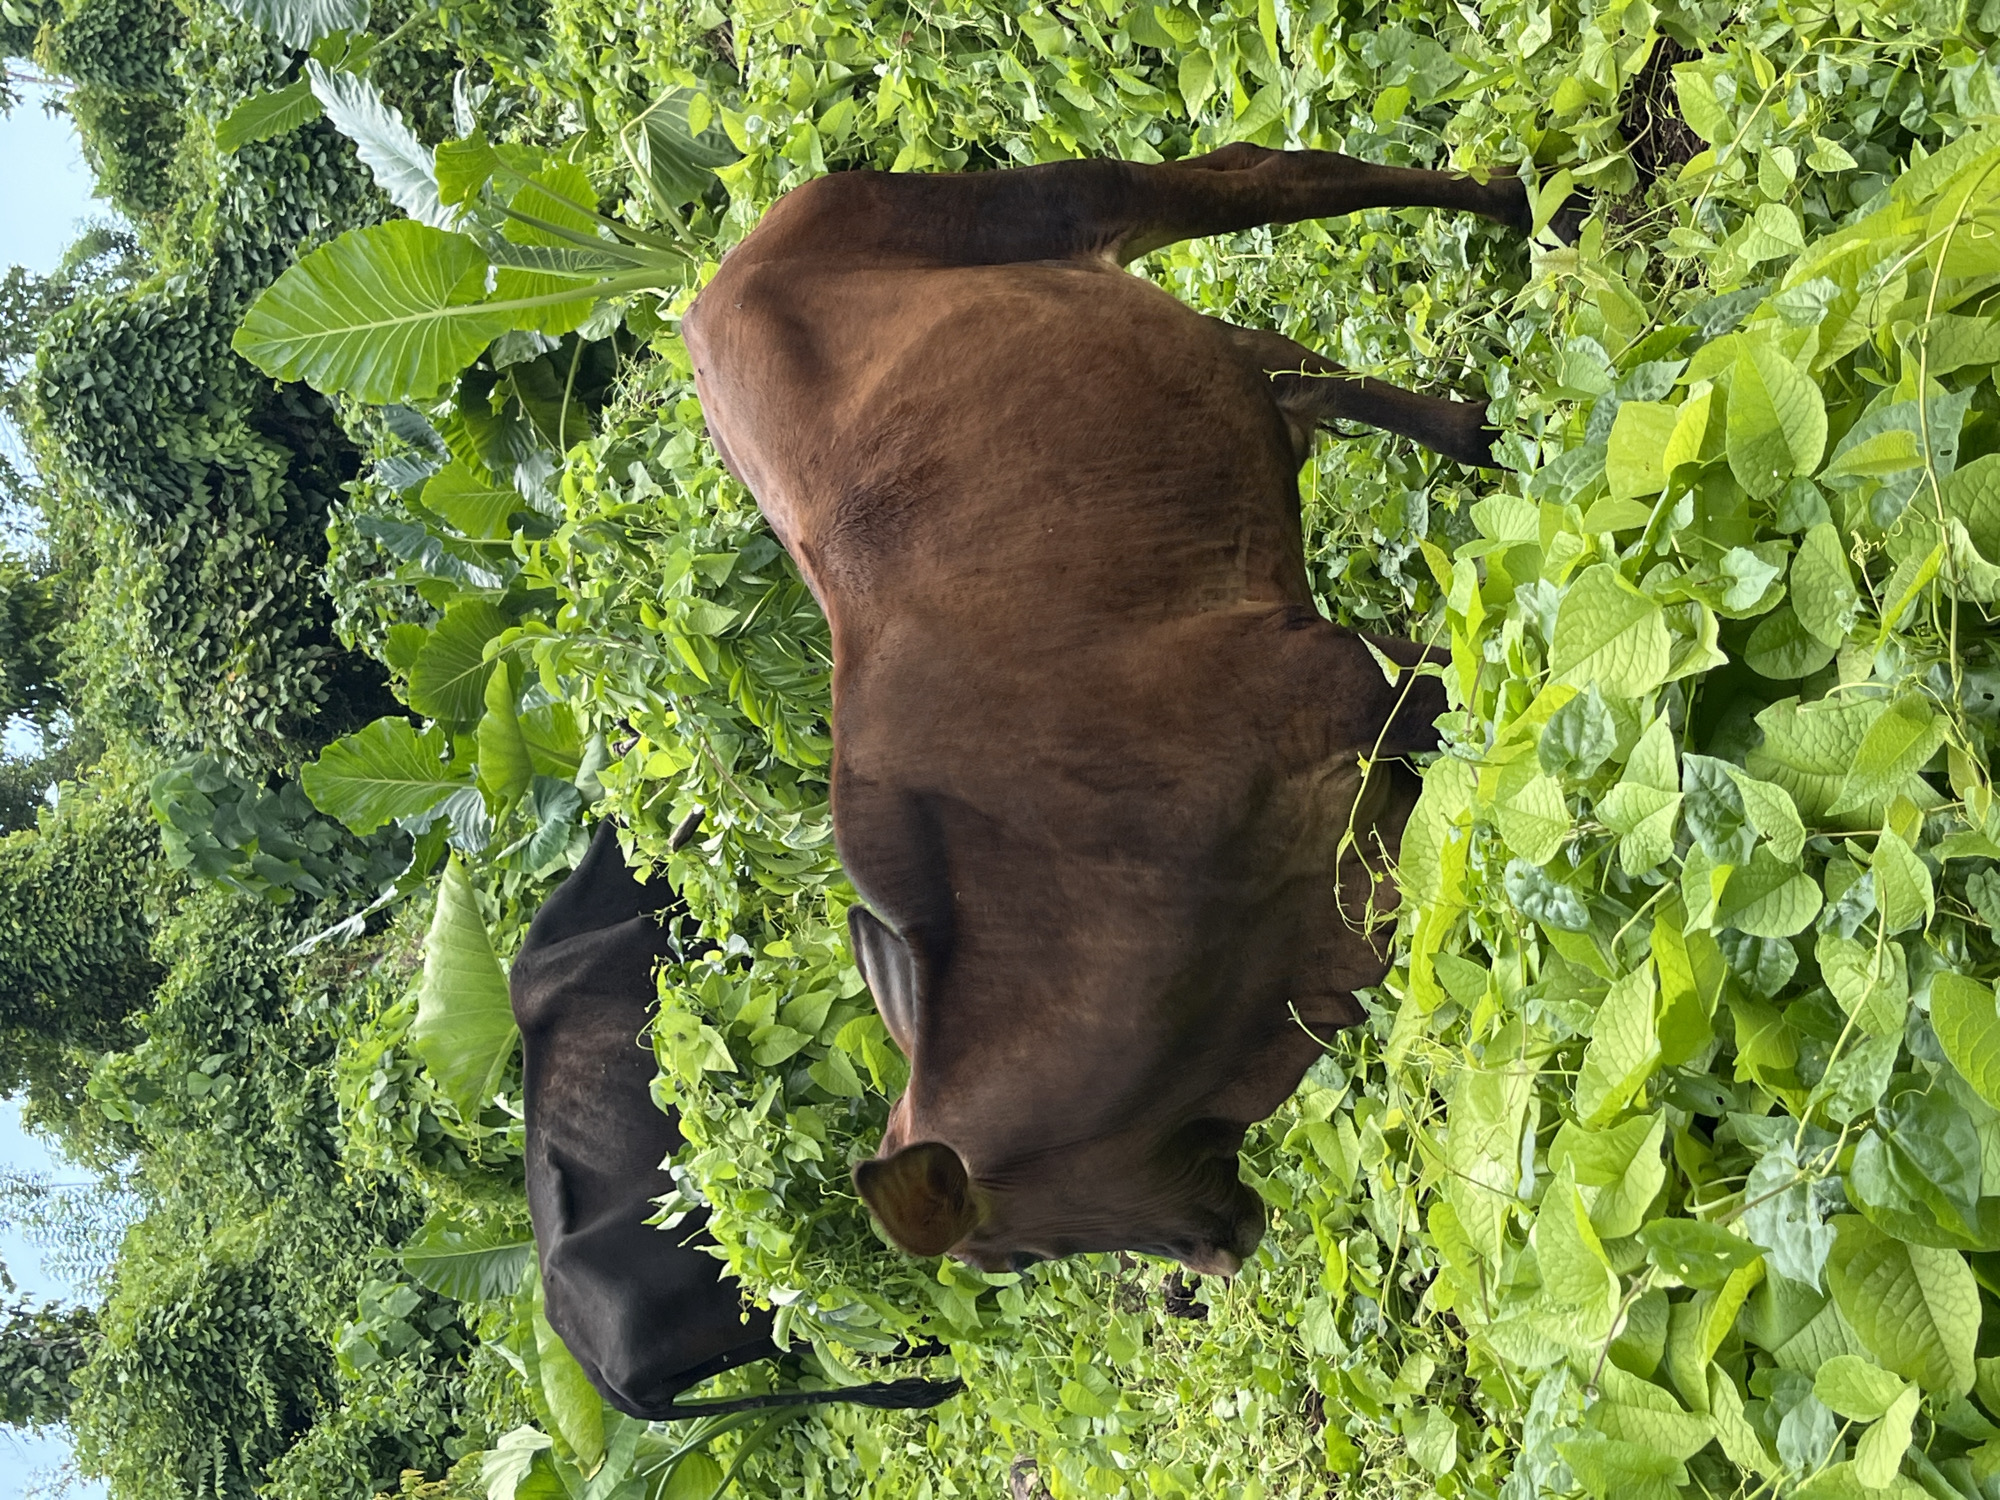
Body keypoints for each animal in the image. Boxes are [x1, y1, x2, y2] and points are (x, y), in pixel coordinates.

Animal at [678, 145, 1547, 1276]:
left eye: (1006, 1260)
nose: (1215, 1262)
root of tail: (714, 289)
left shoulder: (1335, 685)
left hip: (1059, 201)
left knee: (1271, 173)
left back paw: (1506, 200)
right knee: (1288, 373)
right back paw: (1478, 428)